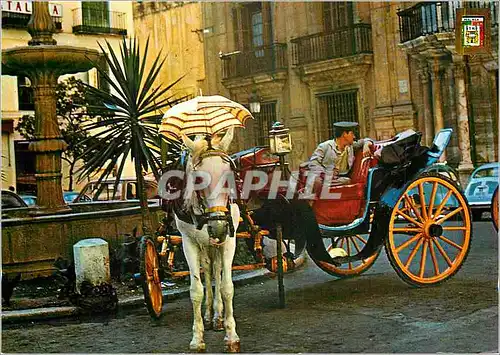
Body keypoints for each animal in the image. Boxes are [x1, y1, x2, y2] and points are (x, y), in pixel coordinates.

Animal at [174, 128, 240, 354]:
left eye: (229, 175)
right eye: (198, 179)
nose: (218, 224)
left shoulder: (229, 240)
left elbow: (227, 287)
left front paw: (231, 336)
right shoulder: (189, 242)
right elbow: (196, 290)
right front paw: (197, 338)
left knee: (216, 271)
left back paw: (218, 316)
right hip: (205, 245)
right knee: (208, 269)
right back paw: (210, 315)